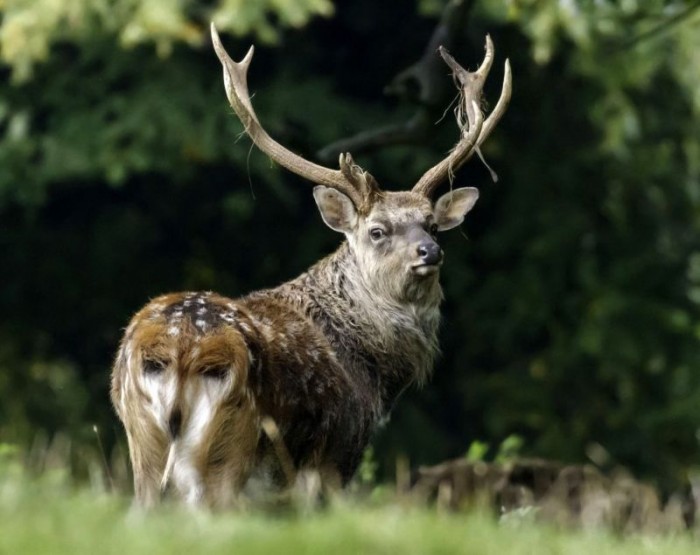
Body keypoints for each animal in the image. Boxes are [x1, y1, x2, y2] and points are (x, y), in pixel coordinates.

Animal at [110, 22, 516, 508]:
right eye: (377, 231)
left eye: (433, 226)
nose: (429, 252)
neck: (376, 376)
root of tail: (180, 346)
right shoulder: (339, 448)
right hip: (230, 442)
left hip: (143, 443)